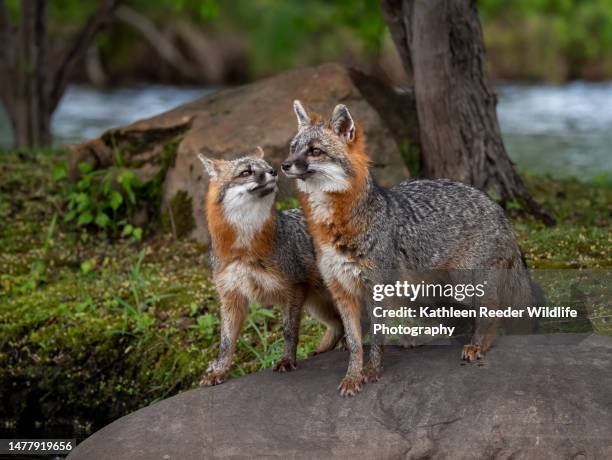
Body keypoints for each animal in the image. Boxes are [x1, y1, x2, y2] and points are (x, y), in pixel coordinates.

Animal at [198, 146, 342, 384]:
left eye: (266, 167)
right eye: (246, 172)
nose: (274, 171)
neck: (244, 249)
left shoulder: (292, 288)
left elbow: (288, 330)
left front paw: (287, 360)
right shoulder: (231, 297)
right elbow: (226, 343)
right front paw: (219, 371)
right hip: (316, 304)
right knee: (339, 324)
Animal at [282, 100, 536, 396]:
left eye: (315, 151)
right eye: (293, 147)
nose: (284, 165)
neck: (337, 226)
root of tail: (499, 209)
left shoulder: (376, 290)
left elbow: (376, 338)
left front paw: (372, 372)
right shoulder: (342, 292)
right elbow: (355, 344)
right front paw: (353, 377)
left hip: (461, 284)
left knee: (490, 310)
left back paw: (479, 345)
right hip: (417, 293)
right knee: (454, 319)